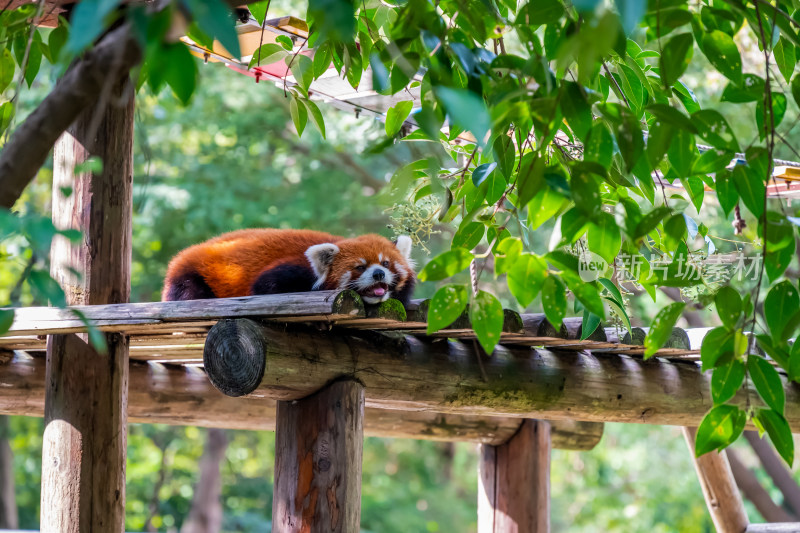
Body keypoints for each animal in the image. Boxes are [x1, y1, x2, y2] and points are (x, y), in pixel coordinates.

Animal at [160, 228, 416, 306]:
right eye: (360, 267)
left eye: (385, 263)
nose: (379, 274)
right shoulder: (293, 269)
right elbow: (265, 286)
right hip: (190, 276)